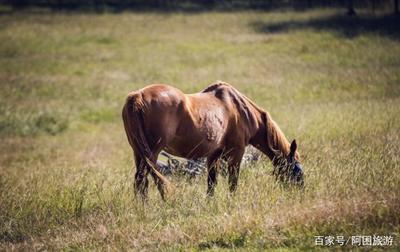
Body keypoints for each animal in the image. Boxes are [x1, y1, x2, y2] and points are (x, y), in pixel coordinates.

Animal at [122, 80, 304, 199]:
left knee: (140, 181)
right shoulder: (236, 153)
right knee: (146, 179)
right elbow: (233, 182)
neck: (240, 108)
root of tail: (137, 96)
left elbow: (211, 183)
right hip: (151, 153)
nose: (300, 193)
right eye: (296, 171)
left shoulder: (213, 155)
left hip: (138, 153)